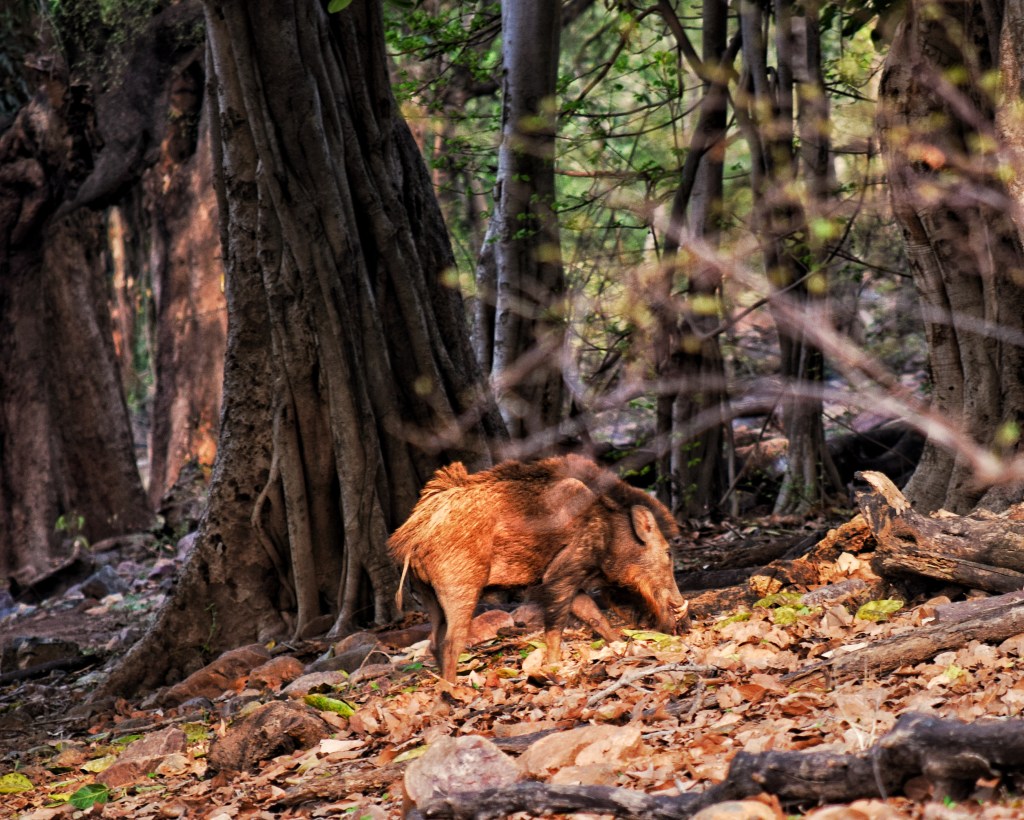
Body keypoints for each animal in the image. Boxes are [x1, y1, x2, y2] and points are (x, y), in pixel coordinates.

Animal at [388, 454, 686, 681]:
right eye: (668, 552)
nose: (683, 621)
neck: (610, 531)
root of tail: (410, 537)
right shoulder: (560, 575)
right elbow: (556, 626)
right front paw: (554, 667)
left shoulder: (567, 578)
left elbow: (593, 615)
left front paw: (624, 646)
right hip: (460, 587)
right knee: (451, 641)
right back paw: (455, 691)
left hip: (428, 594)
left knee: (434, 642)